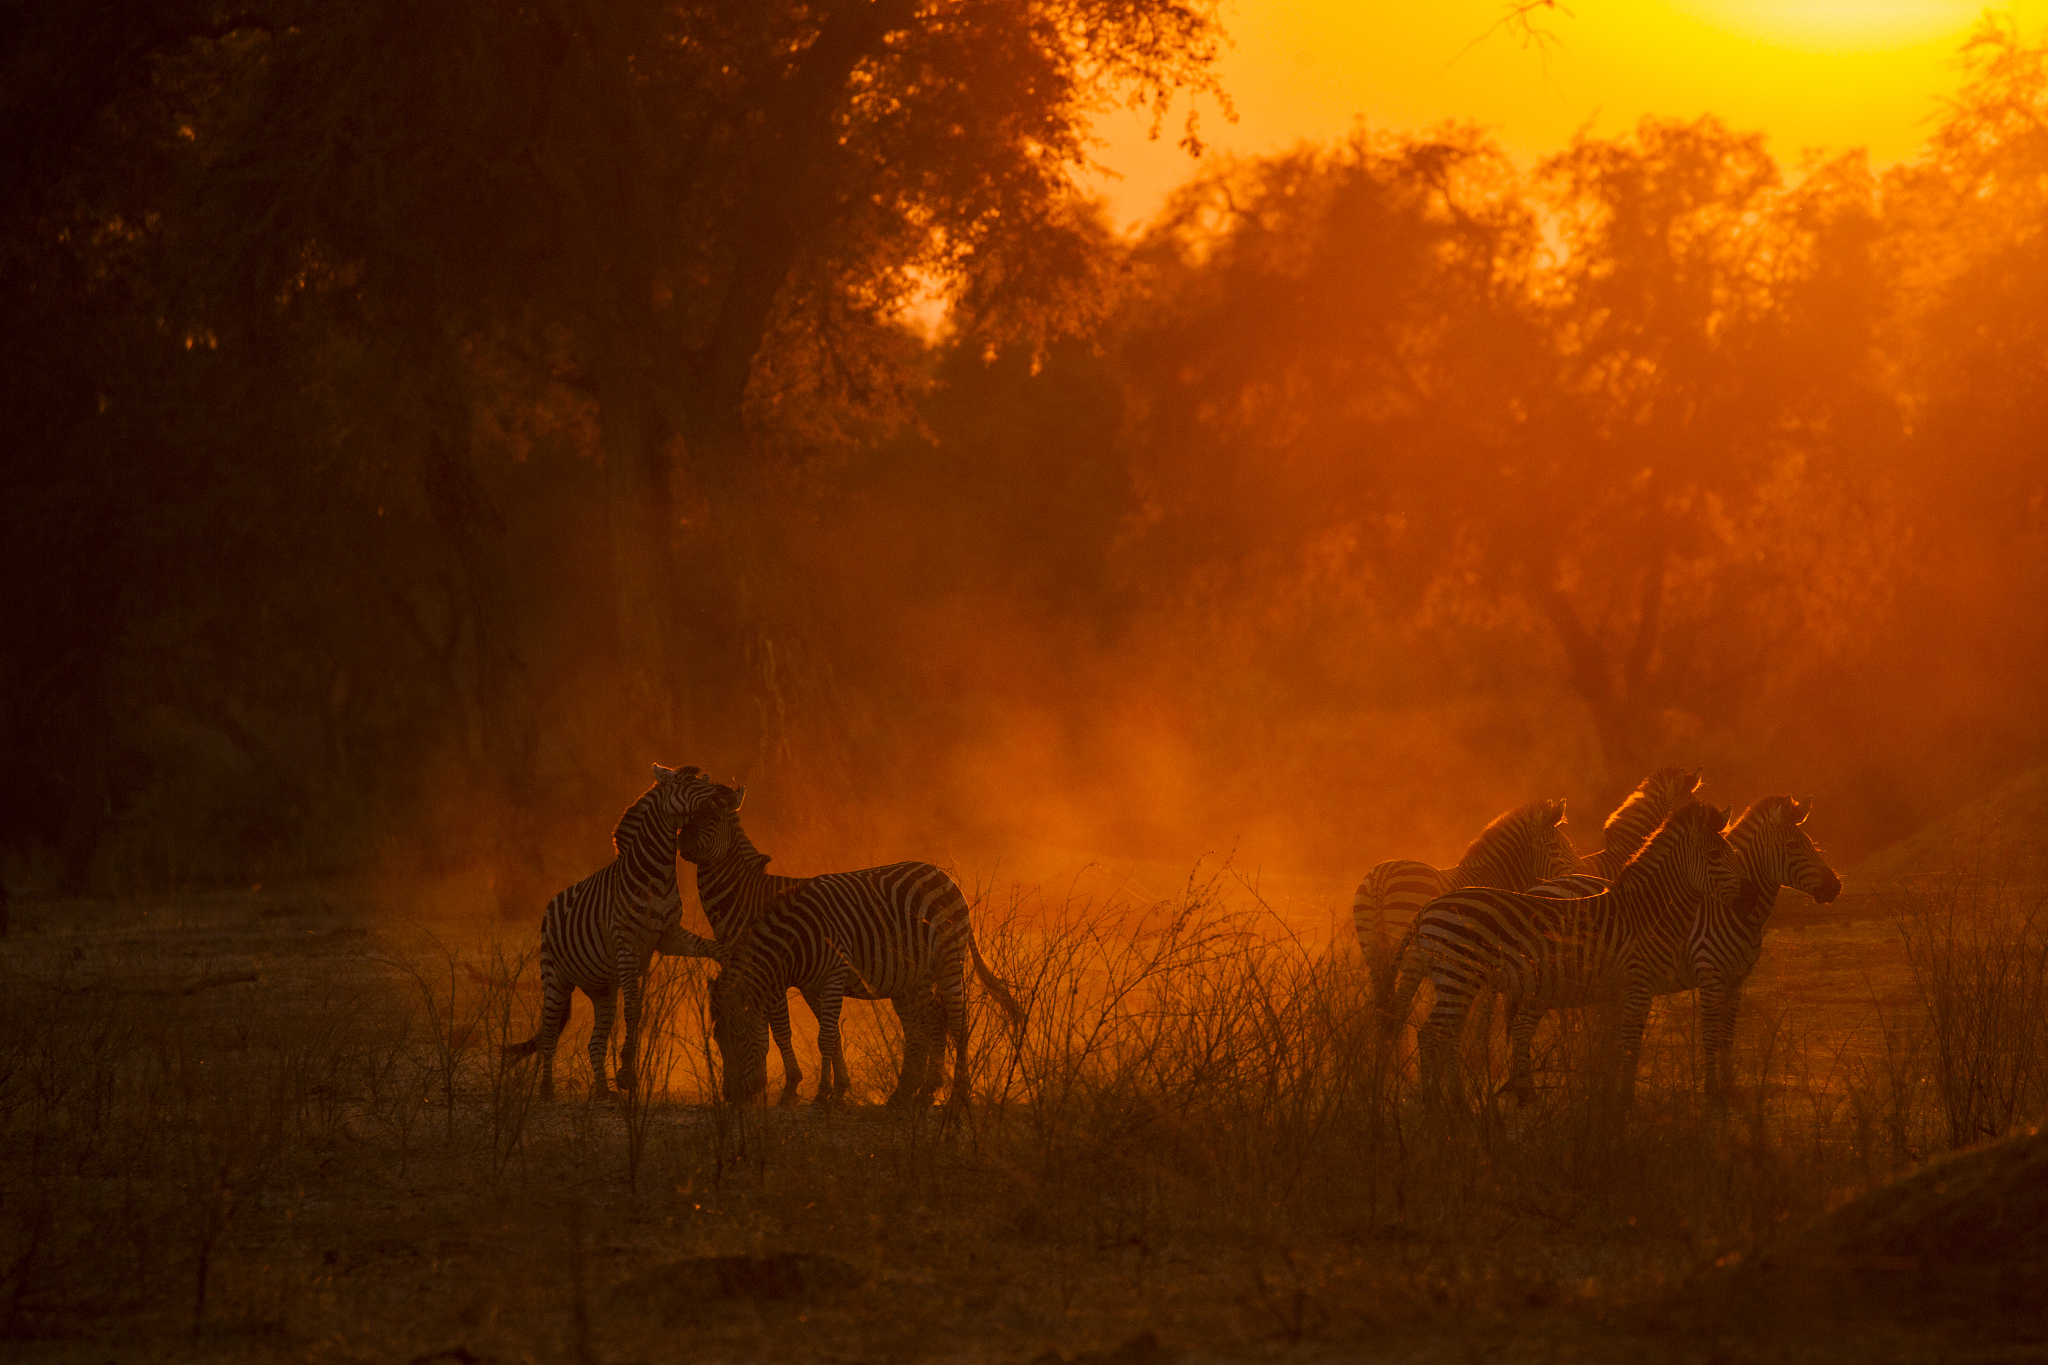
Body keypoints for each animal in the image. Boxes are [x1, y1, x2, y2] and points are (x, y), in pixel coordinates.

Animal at [502, 764, 721, 1100]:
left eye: (702, 780)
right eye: (685, 783)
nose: (722, 794)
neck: (656, 874)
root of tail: (552, 902)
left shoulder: (669, 936)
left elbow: (710, 947)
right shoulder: (627, 946)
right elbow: (634, 1010)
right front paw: (628, 1073)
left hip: (602, 988)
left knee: (594, 1042)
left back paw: (603, 1091)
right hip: (555, 979)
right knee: (549, 1037)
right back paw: (547, 1091)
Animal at [674, 849, 1025, 1107]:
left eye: (741, 1039)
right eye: (718, 1041)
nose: (730, 1097)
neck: (794, 943)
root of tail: (943, 875)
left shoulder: (833, 976)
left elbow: (825, 1038)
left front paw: (824, 1096)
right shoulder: (812, 987)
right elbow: (829, 1037)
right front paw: (835, 1089)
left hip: (949, 960)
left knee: (957, 1023)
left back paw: (957, 1095)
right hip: (915, 976)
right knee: (931, 1020)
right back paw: (914, 1093)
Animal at [1386, 801, 1742, 1107]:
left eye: (1730, 852)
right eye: (1714, 854)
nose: (1745, 894)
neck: (1645, 912)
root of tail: (1429, 906)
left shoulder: (1625, 990)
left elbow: (1616, 1046)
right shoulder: (1638, 986)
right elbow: (1630, 1046)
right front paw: (1625, 1104)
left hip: (1457, 981)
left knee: (1441, 1034)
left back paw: (1451, 1105)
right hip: (1457, 977)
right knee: (1431, 1035)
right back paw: (1437, 1107)